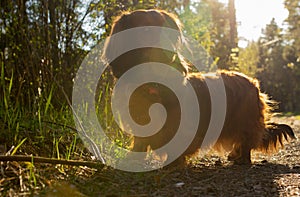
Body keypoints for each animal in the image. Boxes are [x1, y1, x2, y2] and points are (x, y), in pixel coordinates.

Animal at [102, 10, 296, 165]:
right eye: (146, 29)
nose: (169, 50)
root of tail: (253, 83)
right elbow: (140, 142)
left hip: (246, 120)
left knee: (246, 143)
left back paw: (242, 159)